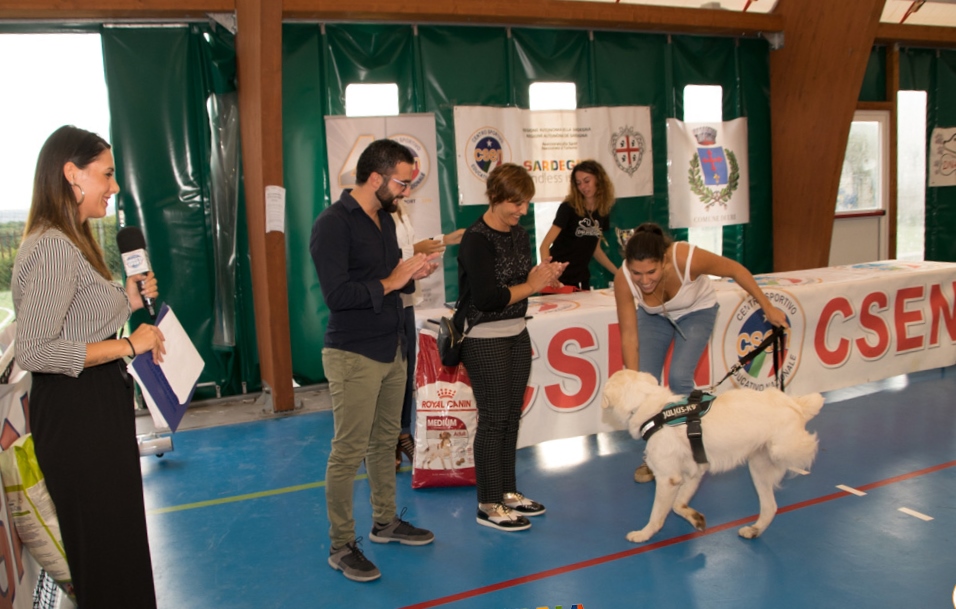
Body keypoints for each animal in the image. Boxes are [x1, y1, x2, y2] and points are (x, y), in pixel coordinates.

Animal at [602, 370, 824, 543]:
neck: (651, 408)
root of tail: (792, 402)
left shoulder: (668, 479)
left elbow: (657, 514)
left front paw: (644, 534)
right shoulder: (694, 473)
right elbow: (677, 505)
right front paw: (696, 518)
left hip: (781, 450)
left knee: (804, 449)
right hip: (758, 468)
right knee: (770, 507)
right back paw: (754, 530)